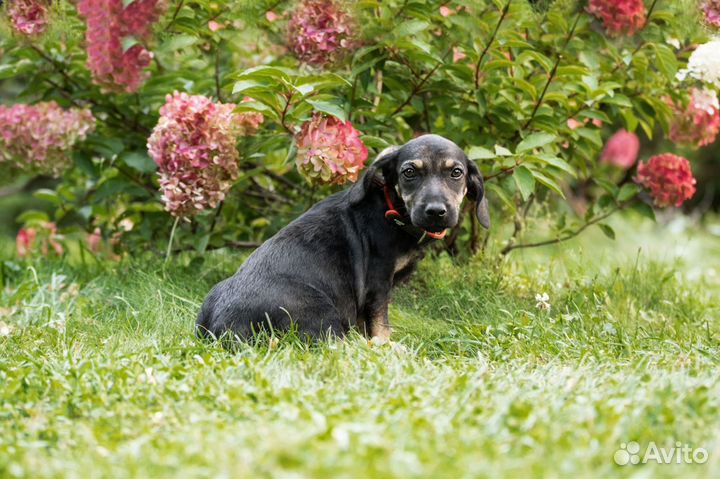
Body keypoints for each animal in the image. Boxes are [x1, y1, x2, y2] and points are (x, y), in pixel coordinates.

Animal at [197, 135, 490, 344]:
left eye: (456, 173)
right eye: (409, 172)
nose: (436, 212)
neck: (391, 209)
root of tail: (225, 326)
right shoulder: (377, 282)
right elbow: (380, 325)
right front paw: (386, 347)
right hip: (320, 309)